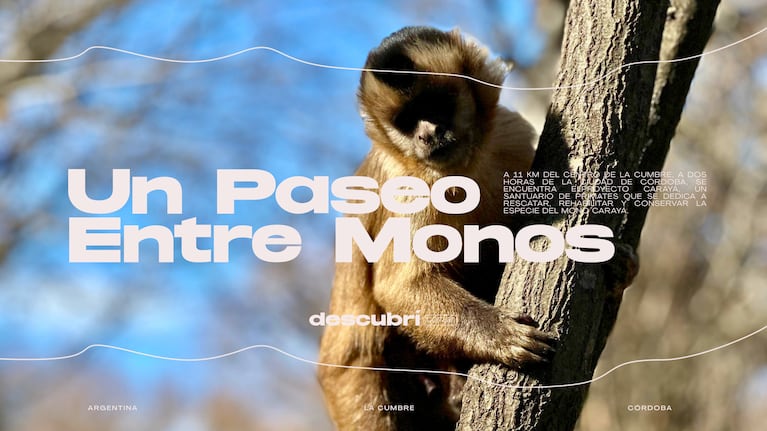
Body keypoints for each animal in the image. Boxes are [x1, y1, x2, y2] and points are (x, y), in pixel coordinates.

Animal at [318, 27, 557, 430]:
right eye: (407, 120)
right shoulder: (409, 185)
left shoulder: (509, 133)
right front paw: (498, 333)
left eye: (434, 106)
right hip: (349, 382)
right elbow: (400, 286)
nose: (427, 135)